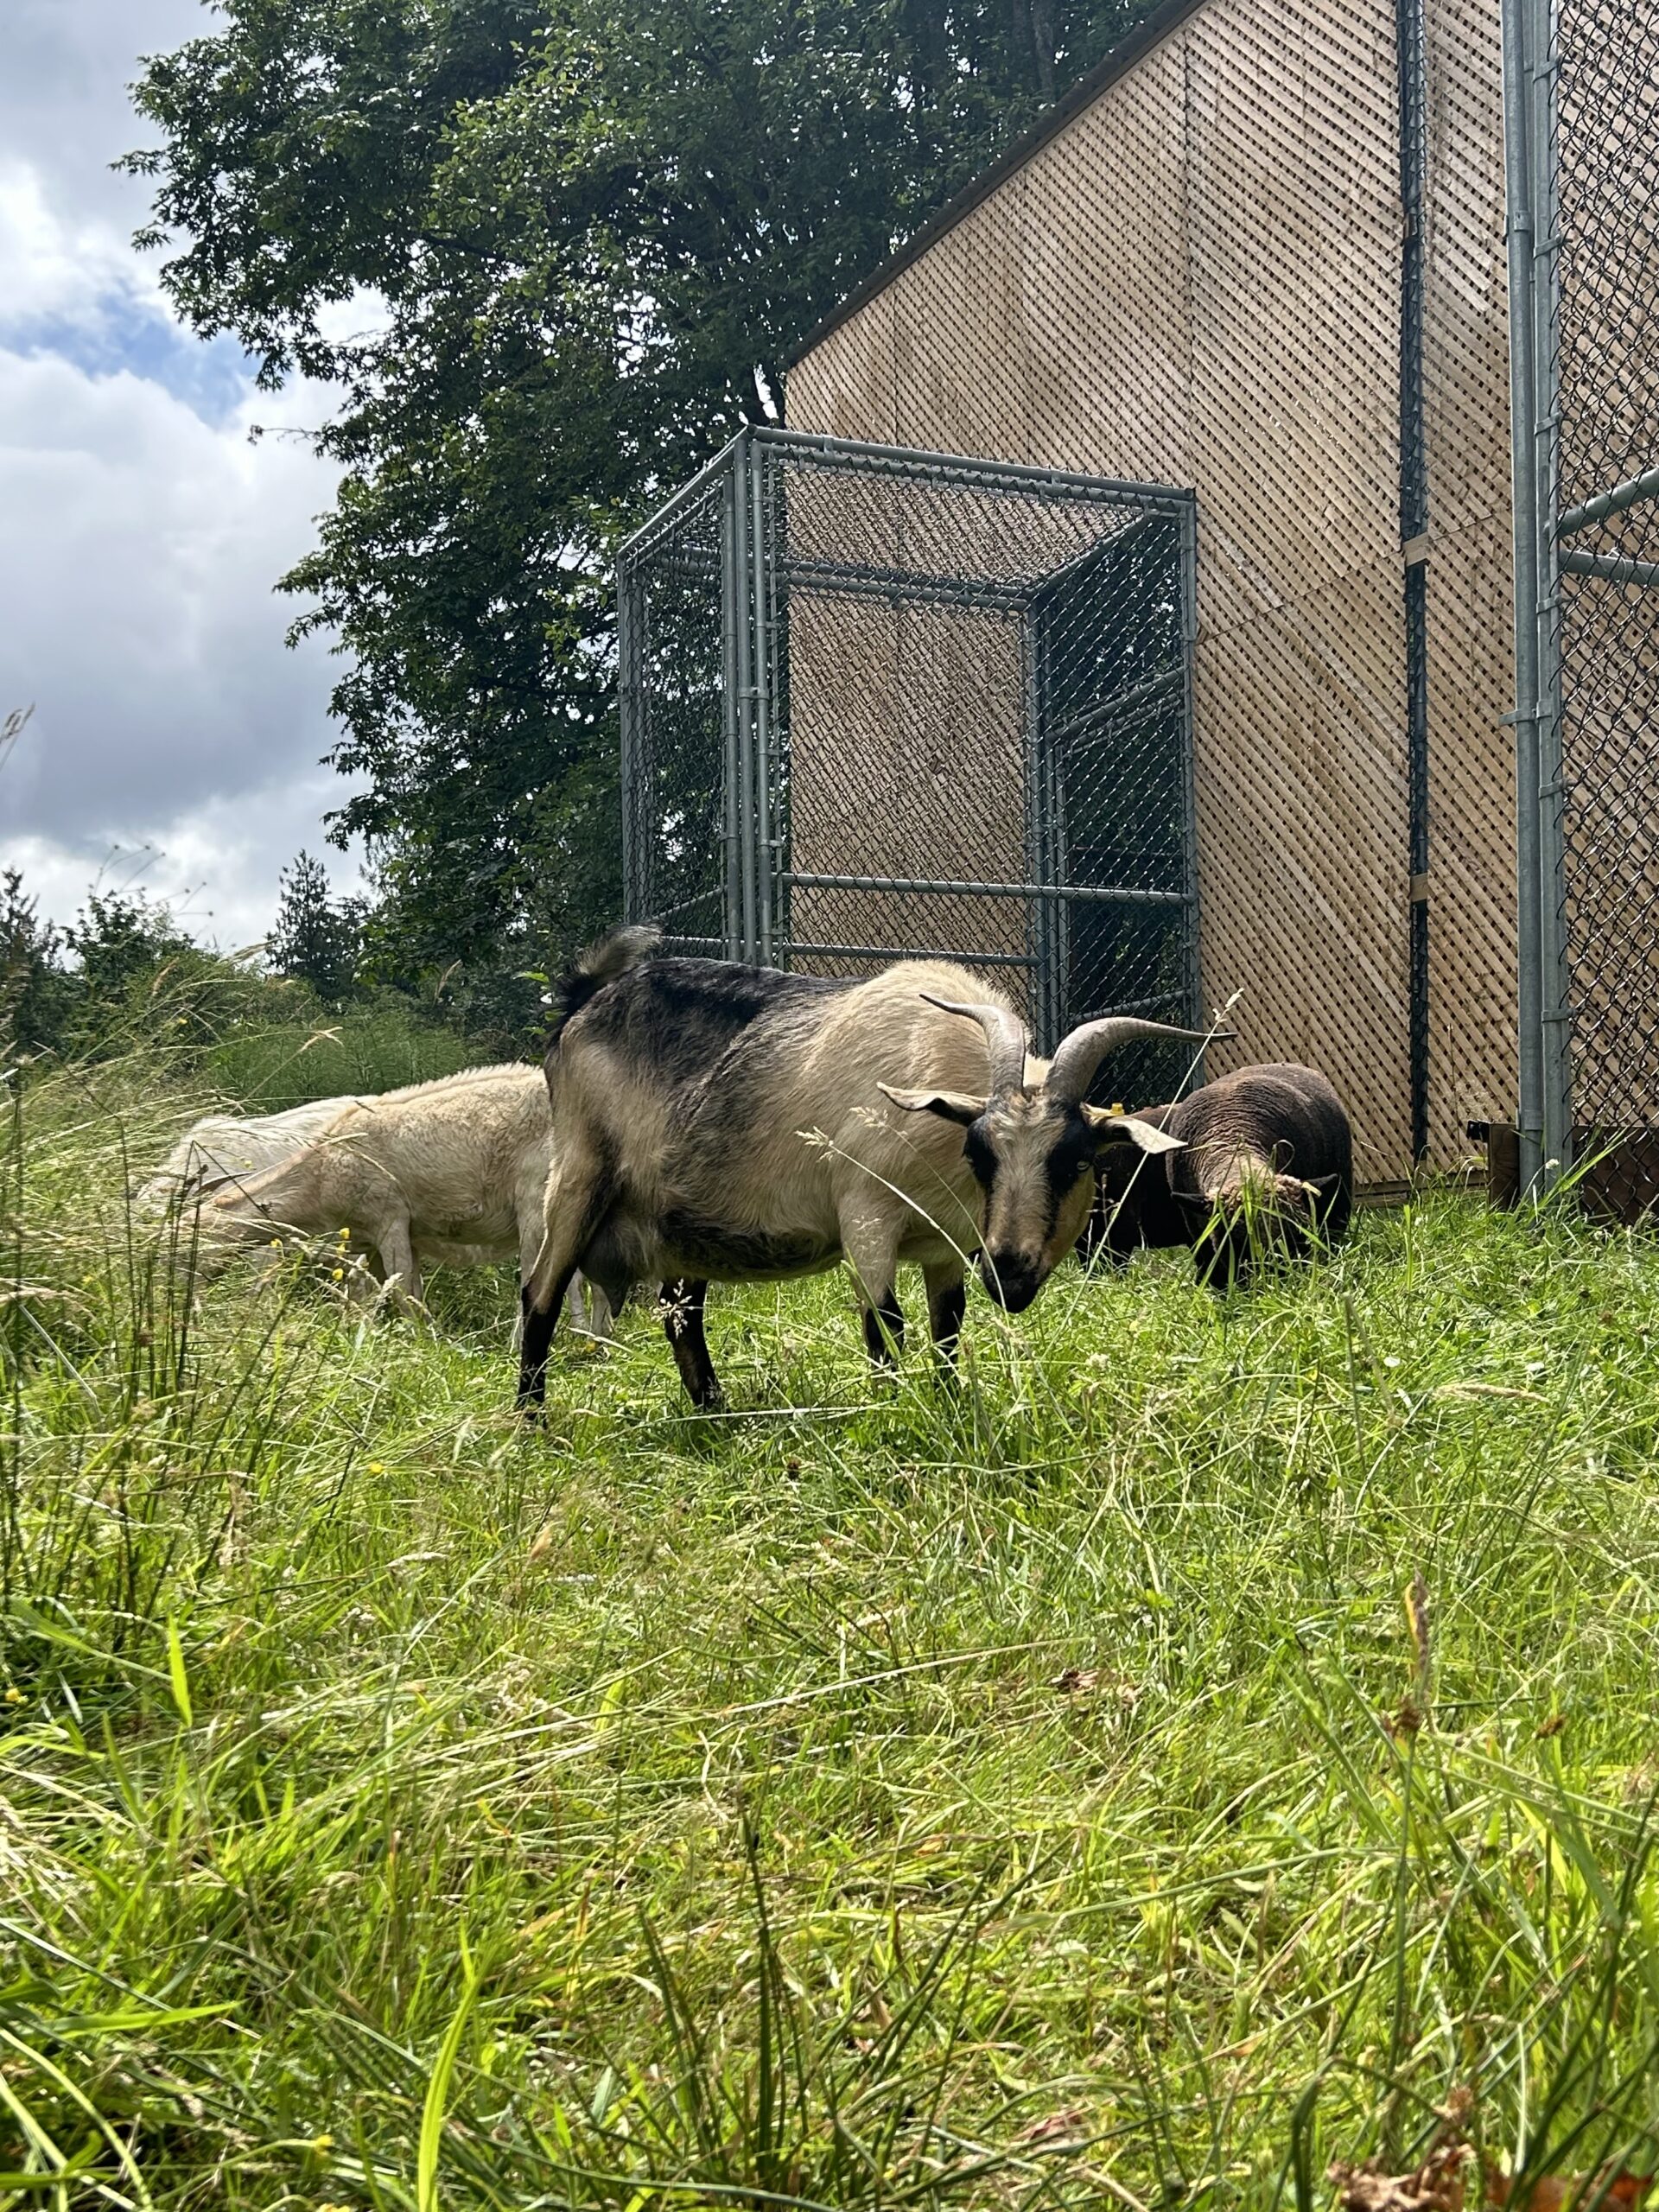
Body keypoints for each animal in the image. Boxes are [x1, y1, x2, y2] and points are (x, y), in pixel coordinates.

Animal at [188, 1067, 608, 1332]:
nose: (181, 1302)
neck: (322, 1170)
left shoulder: (389, 1220)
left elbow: (405, 1297)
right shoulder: (370, 1241)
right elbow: (372, 1294)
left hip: (540, 1206)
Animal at [518, 925, 1222, 1410]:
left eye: (1075, 1160)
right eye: (981, 1151)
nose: (1010, 1274)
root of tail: (583, 1003)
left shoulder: (946, 1246)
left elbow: (946, 1334)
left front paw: (946, 1410)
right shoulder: (866, 1217)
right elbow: (886, 1328)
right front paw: (895, 1416)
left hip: (681, 1226)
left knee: (681, 1316)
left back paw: (715, 1414)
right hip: (580, 1177)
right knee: (540, 1297)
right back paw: (534, 1426)